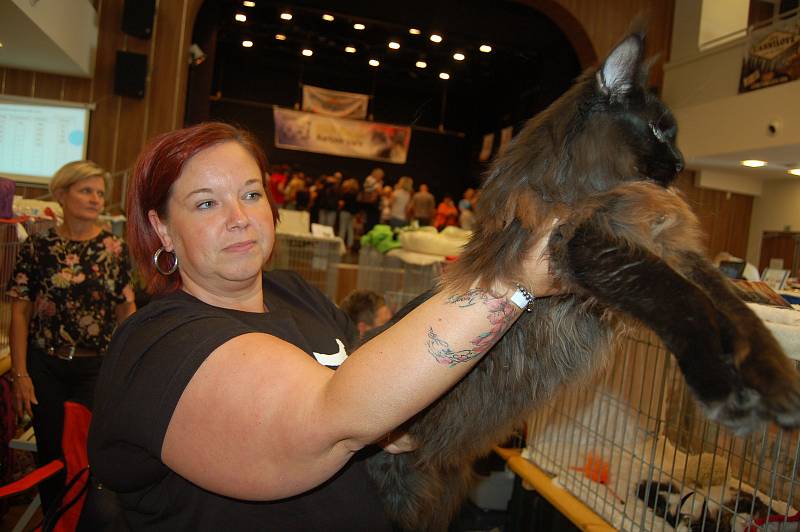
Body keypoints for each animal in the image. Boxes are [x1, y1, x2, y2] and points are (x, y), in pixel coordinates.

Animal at [362, 30, 800, 532]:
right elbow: (683, 303)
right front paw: (722, 388)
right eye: (658, 130)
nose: (680, 161)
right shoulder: (591, 245)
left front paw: (776, 383)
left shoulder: (670, 250)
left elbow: (736, 310)